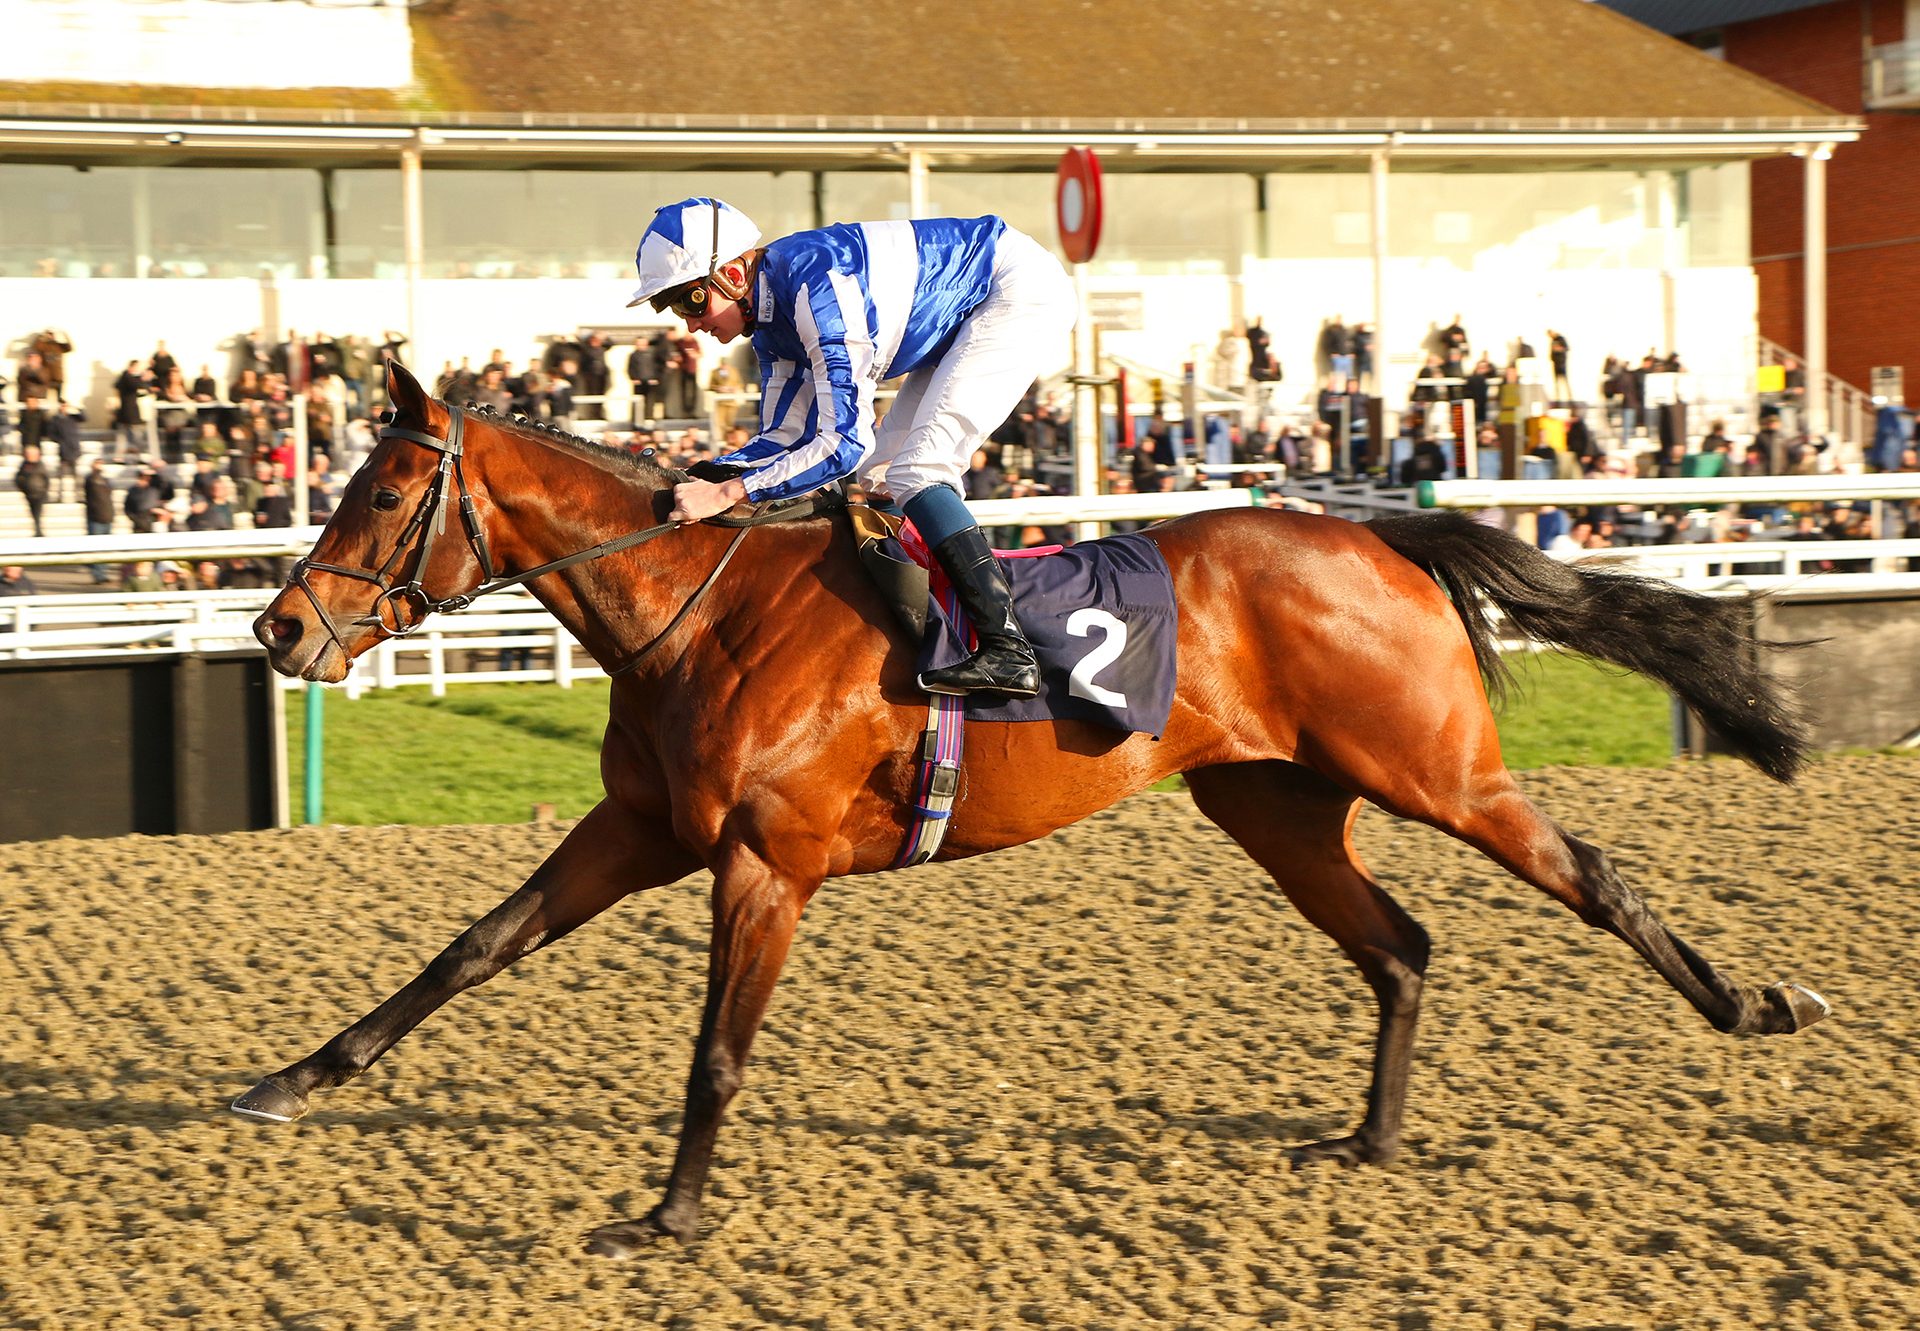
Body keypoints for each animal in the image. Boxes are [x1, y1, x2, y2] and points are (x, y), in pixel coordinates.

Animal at [240, 363, 1827, 1259]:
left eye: (382, 491)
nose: (277, 627)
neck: (706, 612)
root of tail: (1380, 531)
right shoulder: (639, 830)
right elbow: (468, 948)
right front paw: (290, 1079)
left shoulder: (766, 861)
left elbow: (715, 1052)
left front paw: (668, 1212)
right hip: (1275, 802)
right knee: (1401, 944)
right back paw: (1368, 1139)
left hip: (1437, 770)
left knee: (1593, 873)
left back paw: (1759, 1002)